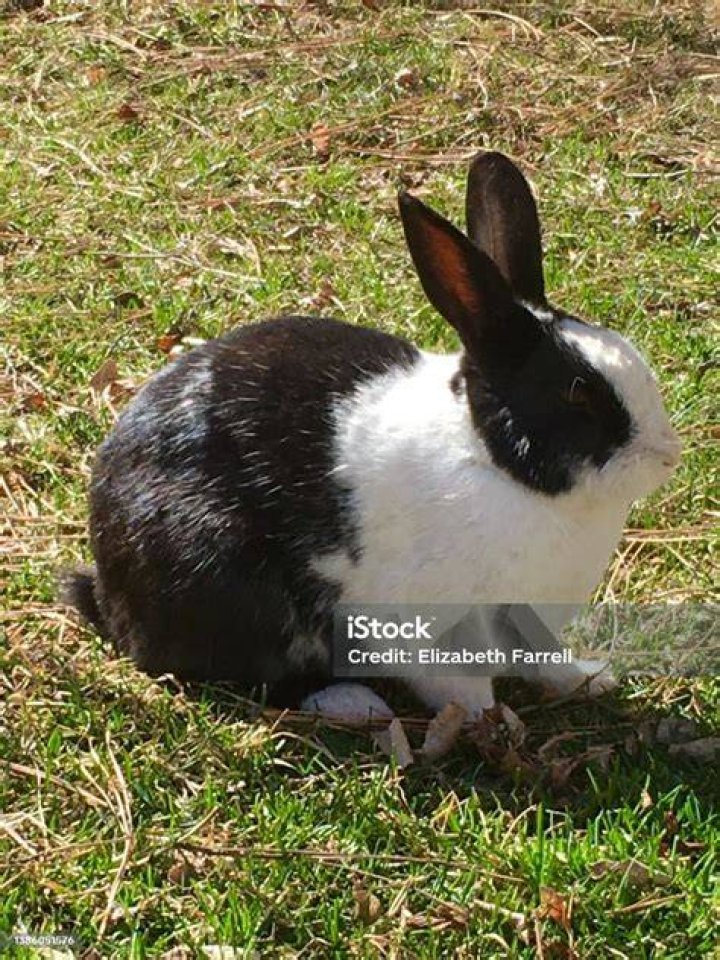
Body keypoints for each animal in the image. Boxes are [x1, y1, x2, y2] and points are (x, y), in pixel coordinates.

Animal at [64, 152, 681, 722]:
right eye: (577, 394)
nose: (666, 456)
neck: (491, 462)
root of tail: (107, 589)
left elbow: (546, 663)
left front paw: (589, 680)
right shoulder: (425, 631)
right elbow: (463, 690)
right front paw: (497, 726)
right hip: (224, 582)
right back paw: (352, 701)